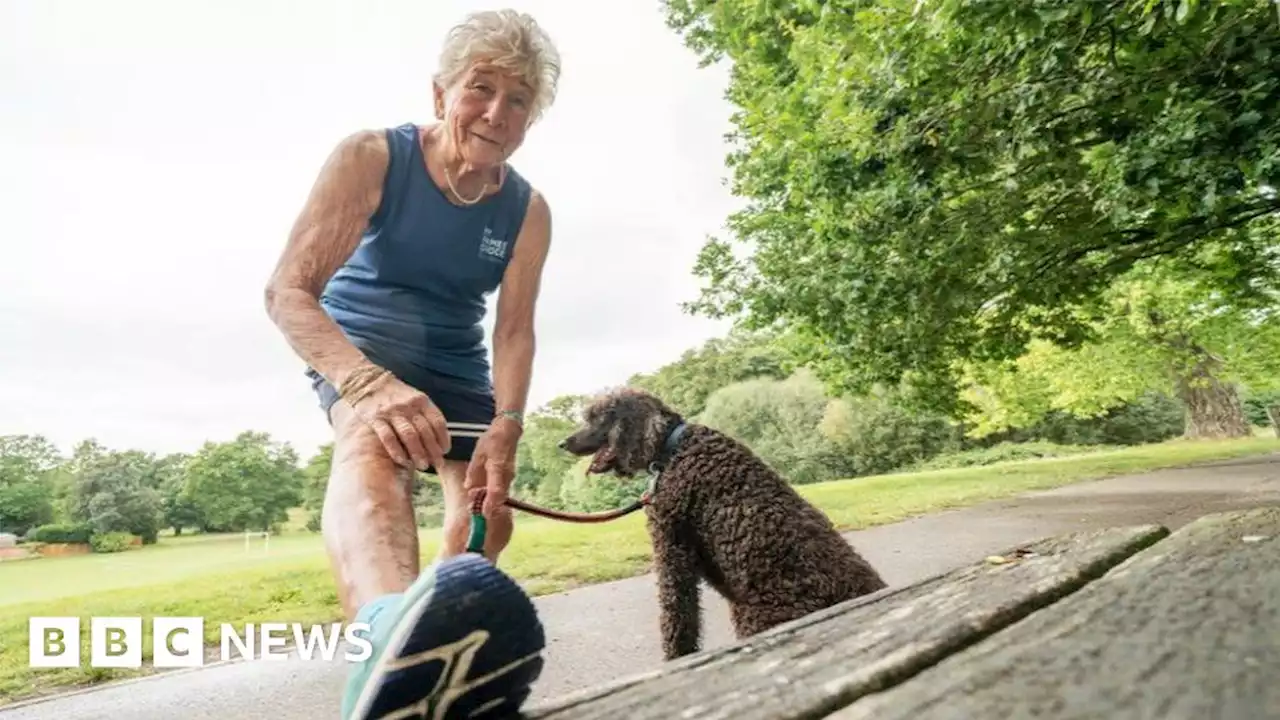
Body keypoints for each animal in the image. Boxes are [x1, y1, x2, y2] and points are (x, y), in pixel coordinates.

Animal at [560, 386, 890, 655]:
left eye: (596, 417)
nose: (562, 443)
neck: (674, 449)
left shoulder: (671, 548)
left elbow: (677, 620)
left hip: (755, 616)